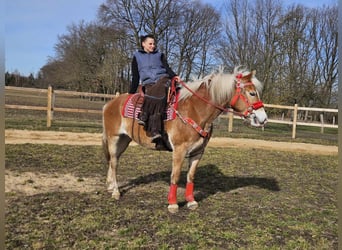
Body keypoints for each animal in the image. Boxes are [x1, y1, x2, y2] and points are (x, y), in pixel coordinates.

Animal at [101, 66, 268, 213]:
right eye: (252, 93)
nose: (263, 118)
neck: (194, 110)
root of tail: (110, 103)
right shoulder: (179, 150)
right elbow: (175, 176)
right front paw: (173, 204)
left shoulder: (198, 152)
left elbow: (190, 176)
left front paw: (191, 201)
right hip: (114, 138)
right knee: (114, 163)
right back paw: (116, 191)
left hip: (124, 140)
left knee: (113, 160)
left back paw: (110, 186)